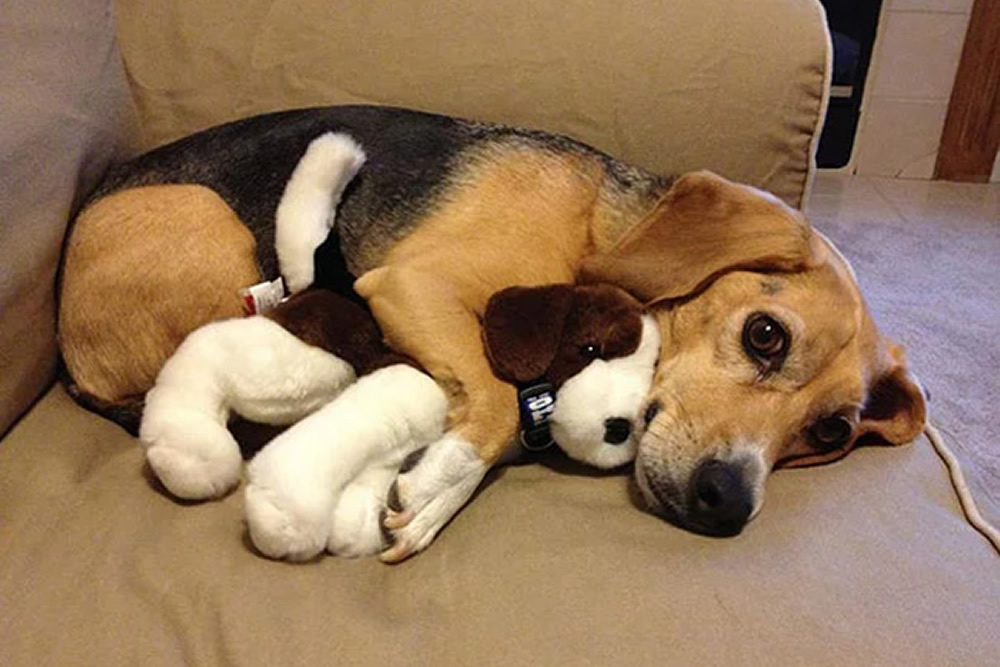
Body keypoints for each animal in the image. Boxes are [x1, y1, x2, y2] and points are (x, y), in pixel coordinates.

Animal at [58, 104, 924, 560]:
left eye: (829, 431)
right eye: (765, 336)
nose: (727, 505)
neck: (599, 228)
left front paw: (432, 488)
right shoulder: (411, 286)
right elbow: (501, 401)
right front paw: (442, 479)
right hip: (215, 228)